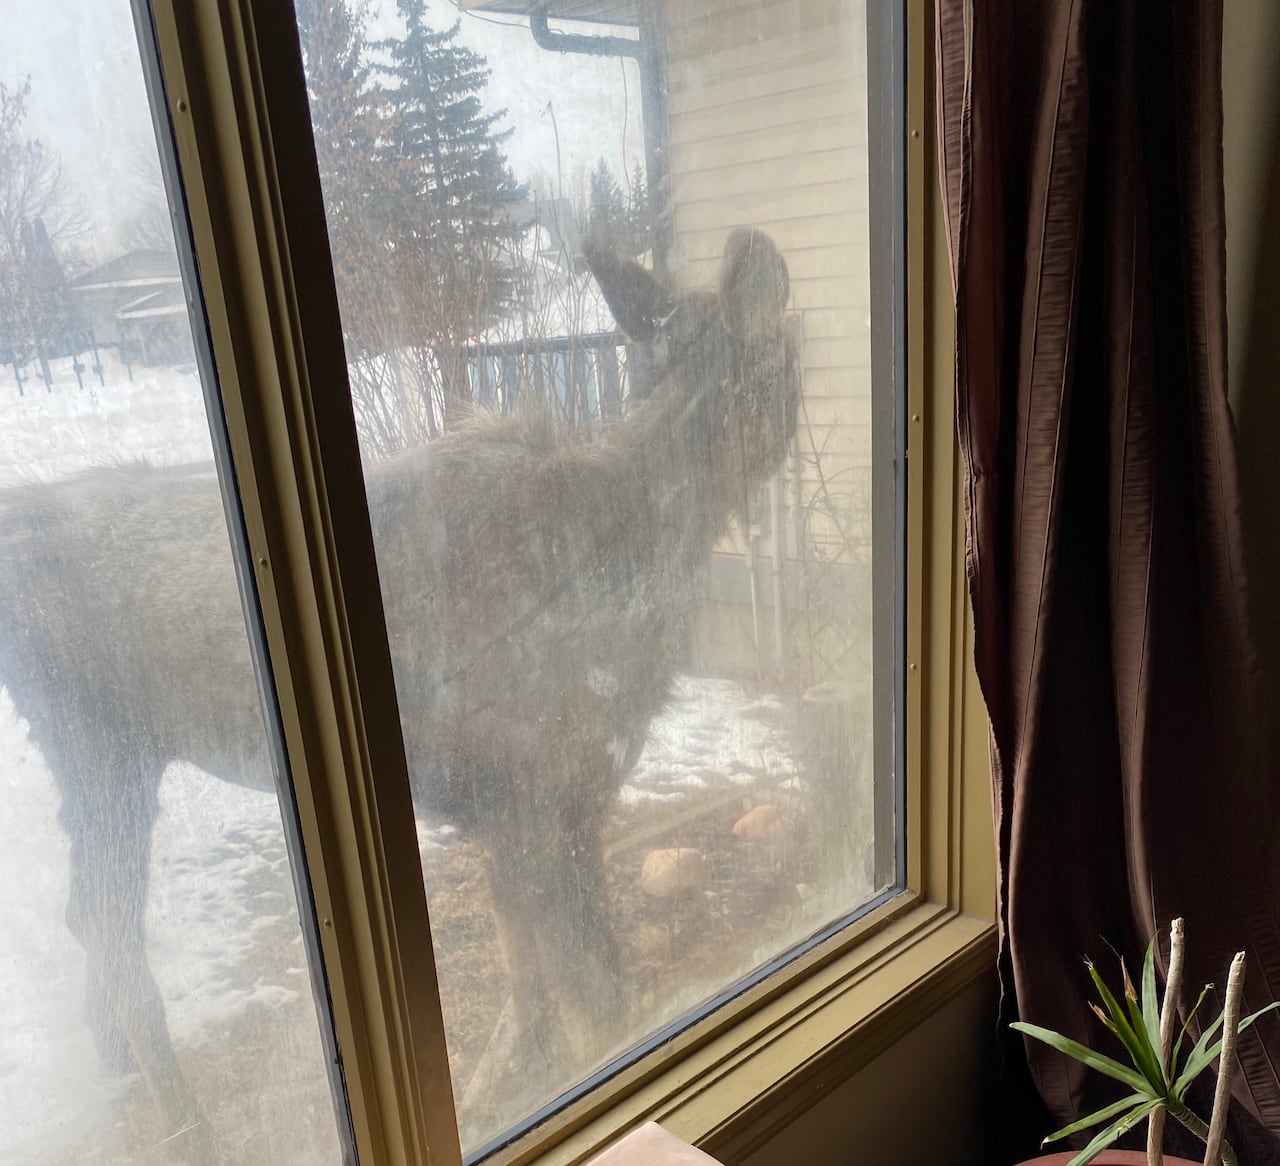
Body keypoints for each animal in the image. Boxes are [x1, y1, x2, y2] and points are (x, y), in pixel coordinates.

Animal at [0, 227, 799, 1156]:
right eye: (787, 352)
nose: (799, 403)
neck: (651, 547)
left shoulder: (520, 809)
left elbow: (526, 985)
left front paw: (493, 1088)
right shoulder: (545, 798)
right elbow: (598, 1004)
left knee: (87, 923)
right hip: (106, 750)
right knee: (109, 933)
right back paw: (191, 1130)